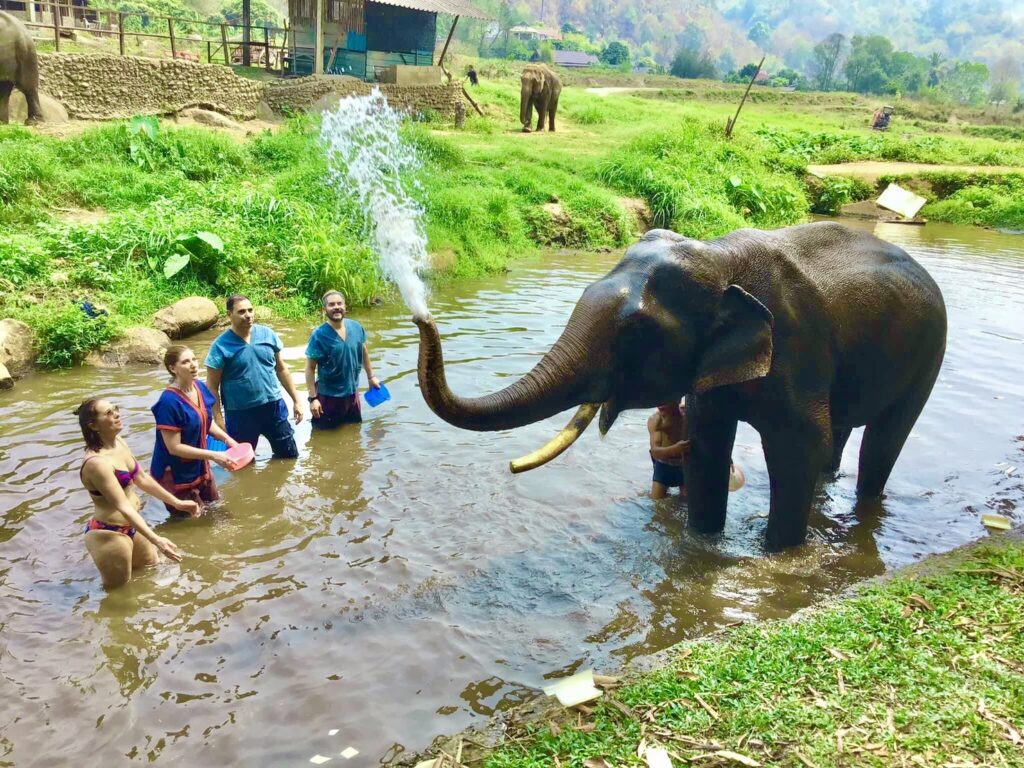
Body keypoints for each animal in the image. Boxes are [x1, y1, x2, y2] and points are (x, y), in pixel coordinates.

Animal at [415, 222, 947, 551]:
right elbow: (707, 445)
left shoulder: (797, 347)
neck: (721, 257)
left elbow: (799, 446)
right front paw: (703, 544)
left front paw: (777, 553)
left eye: (634, 334)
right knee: (839, 434)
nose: (421, 317)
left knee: (883, 440)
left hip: (930, 354)